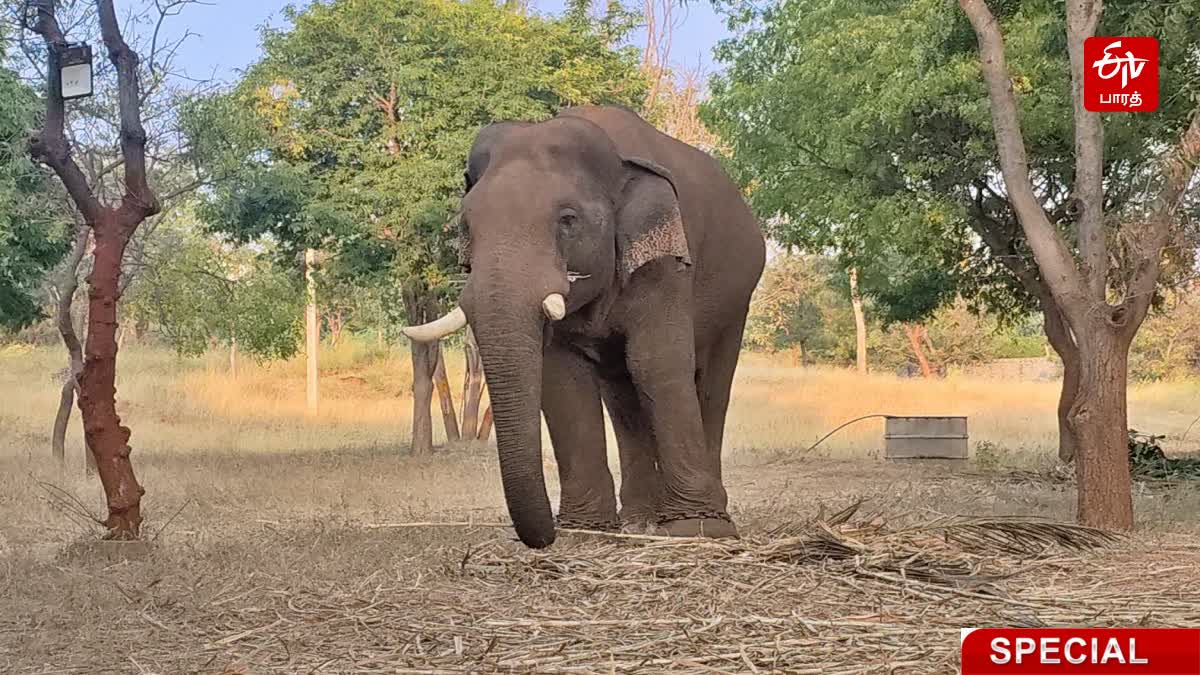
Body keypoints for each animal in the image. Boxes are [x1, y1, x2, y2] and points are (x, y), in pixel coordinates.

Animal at [400, 103, 758, 547]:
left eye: (568, 220)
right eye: (466, 225)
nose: (547, 533)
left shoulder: (665, 264)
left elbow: (657, 363)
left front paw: (695, 531)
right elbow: (562, 376)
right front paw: (583, 533)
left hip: (738, 295)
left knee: (709, 383)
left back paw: (703, 521)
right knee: (622, 394)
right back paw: (639, 522)